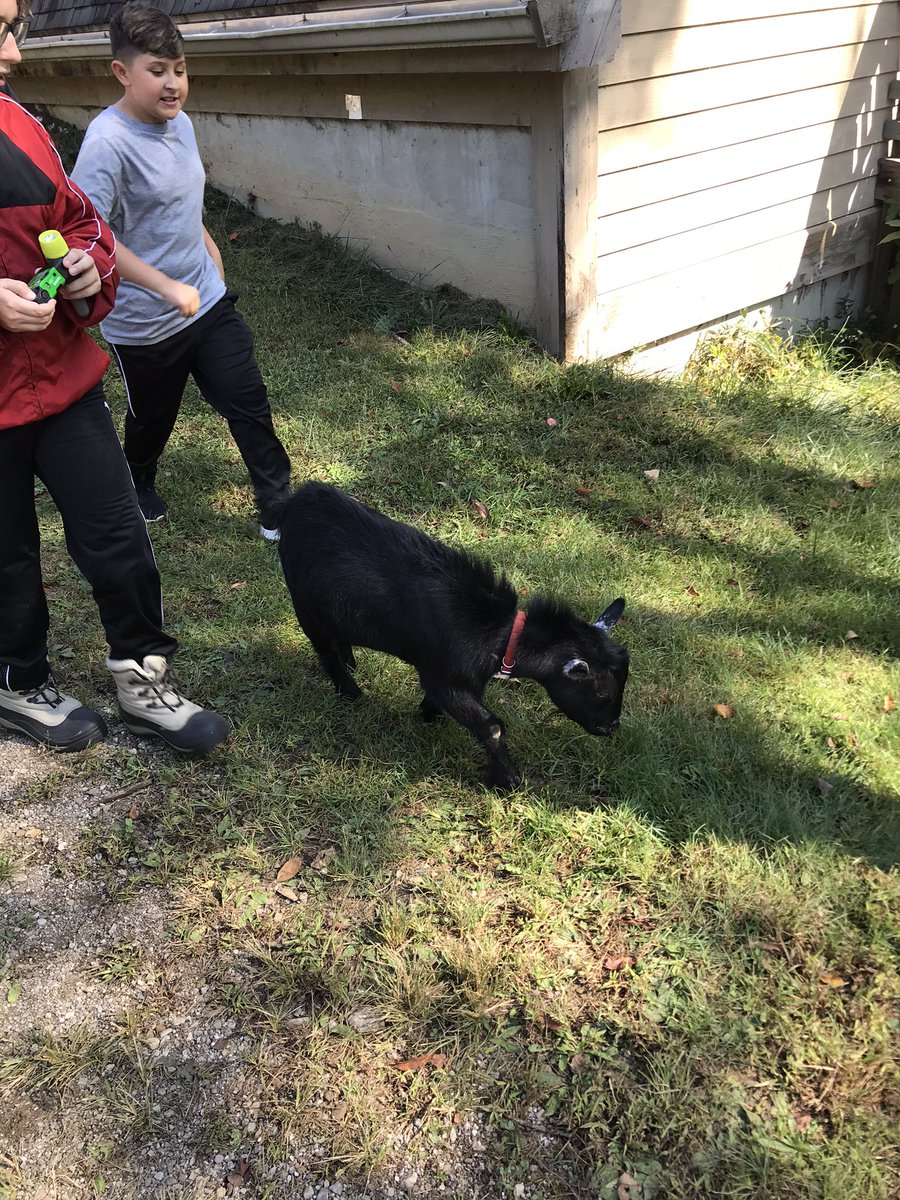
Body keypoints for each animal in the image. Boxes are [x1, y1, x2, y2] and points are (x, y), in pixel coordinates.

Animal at [279, 482, 629, 791]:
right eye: (602, 693)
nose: (610, 727)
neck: (499, 632)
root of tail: (299, 498)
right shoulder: (443, 677)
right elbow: (492, 727)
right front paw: (507, 780)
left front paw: (428, 716)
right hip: (304, 604)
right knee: (325, 651)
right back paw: (350, 692)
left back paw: (351, 664)